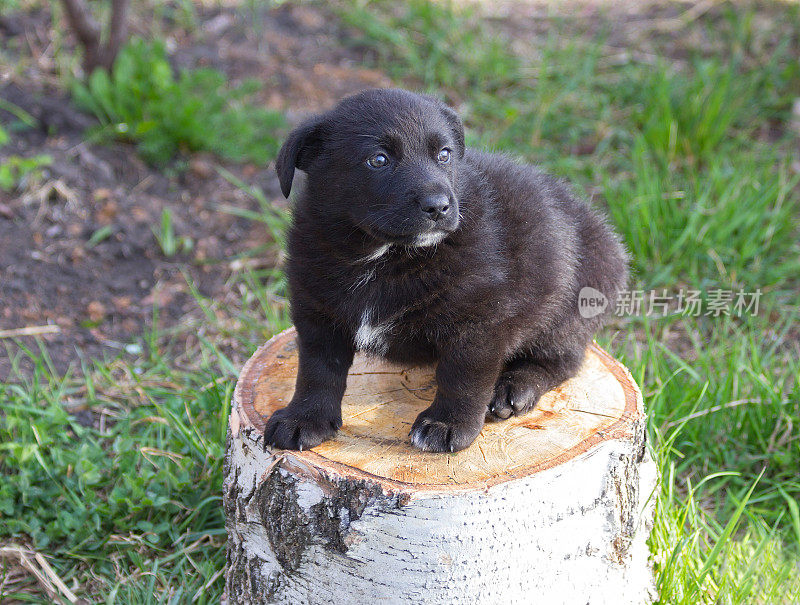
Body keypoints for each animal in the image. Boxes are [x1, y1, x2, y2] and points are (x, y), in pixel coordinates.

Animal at [266, 87, 628, 450]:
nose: (439, 206)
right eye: (378, 160)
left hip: (572, 304)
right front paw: (304, 418)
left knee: (561, 359)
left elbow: (462, 375)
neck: (383, 256)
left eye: (444, 155)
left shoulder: (479, 319)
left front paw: (448, 424)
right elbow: (317, 370)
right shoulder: (316, 311)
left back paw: (514, 388)